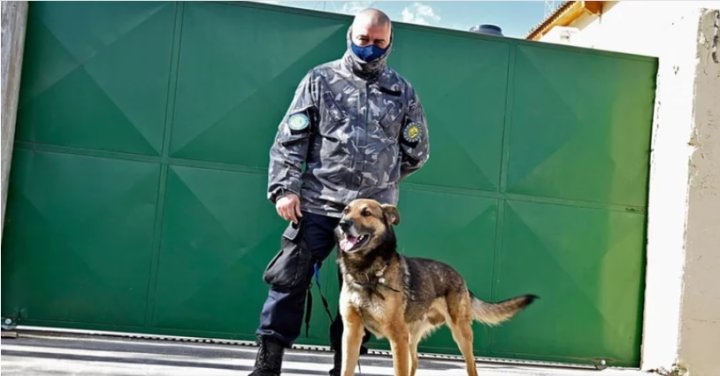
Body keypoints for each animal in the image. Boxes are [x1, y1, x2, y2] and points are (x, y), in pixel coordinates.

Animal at [334, 198, 536, 374]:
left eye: (366, 212)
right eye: (346, 210)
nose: (343, 223)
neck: (366, 272)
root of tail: (459, 276)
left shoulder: (397, 336)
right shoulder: (352, 332)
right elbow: (346, 369)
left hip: (460, 333)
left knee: (472, 366)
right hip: (411, 338)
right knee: (415, 363)